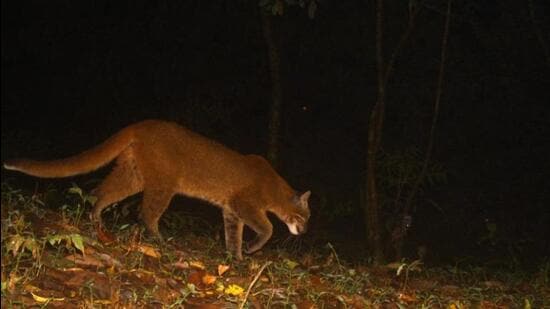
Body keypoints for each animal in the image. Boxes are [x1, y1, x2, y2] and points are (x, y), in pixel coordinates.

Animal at [3, 119, 310, 258]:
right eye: (305, 217)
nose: (305, 230)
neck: (276, 187)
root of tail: (140, 124)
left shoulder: (232, 211)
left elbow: (232, 235)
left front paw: (234, 257)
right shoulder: (245, 204)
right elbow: (267, 228)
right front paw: (249, 250)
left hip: (132, 173)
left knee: (101, 193)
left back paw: (95, 221)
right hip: (163, 184)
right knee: (146, 213)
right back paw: (160, 241)